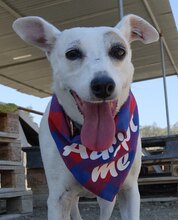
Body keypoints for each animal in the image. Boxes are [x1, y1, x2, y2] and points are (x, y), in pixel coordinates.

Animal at [12, 14, 159, 219]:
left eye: (119, 51)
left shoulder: (129, 191)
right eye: (72, 54)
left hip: (107, 198)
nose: (103, 85)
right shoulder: (57, 199)